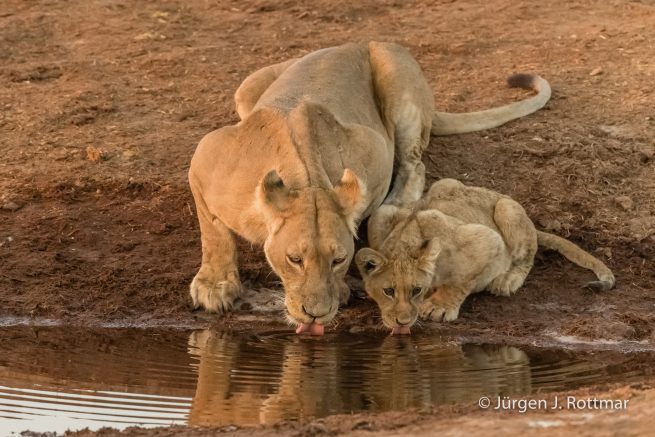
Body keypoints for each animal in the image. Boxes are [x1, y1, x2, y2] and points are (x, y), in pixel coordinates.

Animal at [188, 41, 551, 334]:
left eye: (339, 259)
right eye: (294, 259)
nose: (316, 314)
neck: (305, 177)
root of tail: (357, 42)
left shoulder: (372, 147)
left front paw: (341, 290)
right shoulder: (205, 156)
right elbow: (214, 231)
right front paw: (215, 285)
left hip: (397, 81)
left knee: (415, 164)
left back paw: (403, 202)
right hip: (247, 88)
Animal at [356, 178, 615, 334]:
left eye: (416, 290)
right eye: (388, 291)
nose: (402, 322)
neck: (404, 243)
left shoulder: (488, 239)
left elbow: (460, 281)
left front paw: (439, 307)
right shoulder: (380, 218)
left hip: (507, 209)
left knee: (526, 258)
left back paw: (507, 280)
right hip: (392, 207)